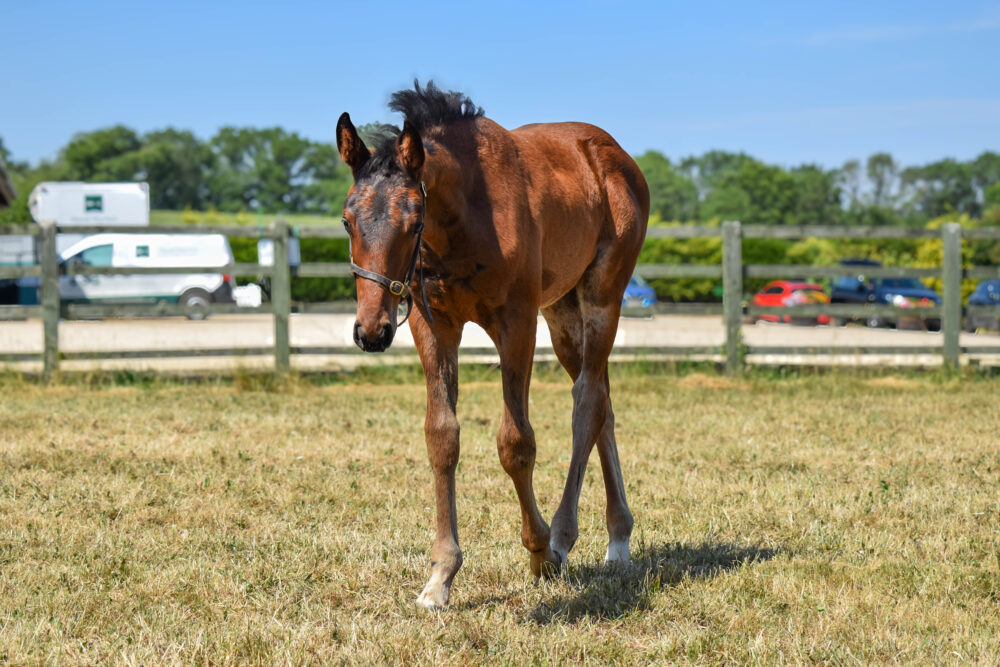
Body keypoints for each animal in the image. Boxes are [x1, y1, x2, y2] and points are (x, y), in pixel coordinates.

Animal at [336, 81, 649, 609]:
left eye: (414, 219)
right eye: (346, 221)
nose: (372, 332)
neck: (463, 219)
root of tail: (616, 154)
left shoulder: (516, 322)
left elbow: (515, 442)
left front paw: (539, 551)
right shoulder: (432, 322)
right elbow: (442, 435)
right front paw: (440, 576)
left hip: (602, 295)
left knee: (587, 402)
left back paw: (564, 537)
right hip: (562, 311)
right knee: (602, 399)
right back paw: (618, 536)